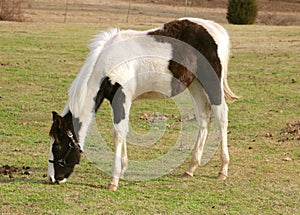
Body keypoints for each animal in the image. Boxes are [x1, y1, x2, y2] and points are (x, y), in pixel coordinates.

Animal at [48, 17, 238, 191]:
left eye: (57, 144)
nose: (52, 178)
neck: (109, 64)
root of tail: (216, 28)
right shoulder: (120, 101)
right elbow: (123, 131)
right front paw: (122, 171)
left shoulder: (122, 98)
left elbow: (118, 134)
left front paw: (114, 180)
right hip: (195, 84)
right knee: (204, 117)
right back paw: (191, 168)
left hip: (212, 83)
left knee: (221, 116)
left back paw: (223, 170)